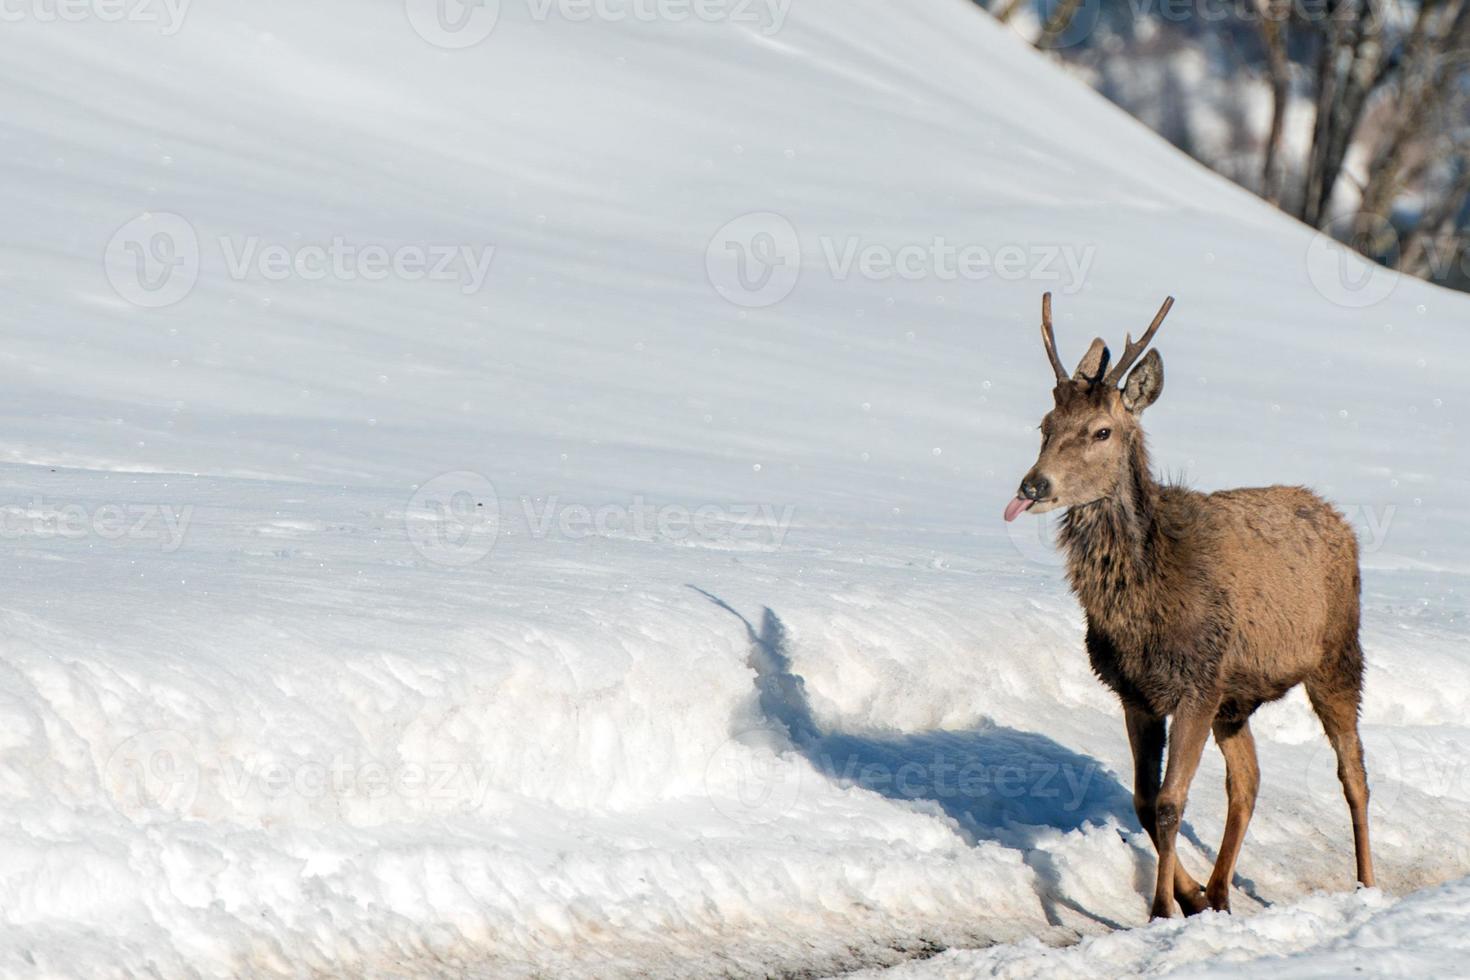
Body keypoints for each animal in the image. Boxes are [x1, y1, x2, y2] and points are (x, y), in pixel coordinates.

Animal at [1005, 290, 1370, 922]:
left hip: (1337, 657)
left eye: (1101, 431)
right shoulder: (1138, 692)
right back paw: (1219, 892)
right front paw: (1190, 894)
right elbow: (1143, 801)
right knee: (1247, 780)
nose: (1033, 485)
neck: (1146, 604)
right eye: (1046, 425)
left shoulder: (1197, 681)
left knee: (1354, 775)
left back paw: (1367, 885)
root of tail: (1338, 520)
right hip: (1237, 699)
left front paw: (1161, 910)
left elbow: (1171, 802)